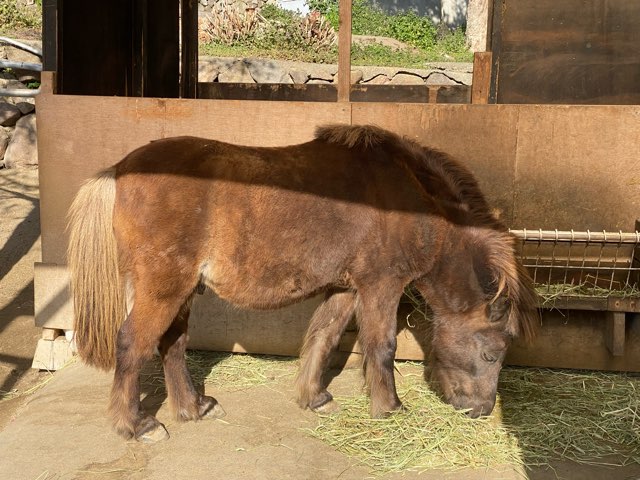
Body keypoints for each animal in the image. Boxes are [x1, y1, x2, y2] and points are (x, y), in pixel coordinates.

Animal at [67, 123, 536, 442]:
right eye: (492, 353)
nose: (482, 410)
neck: (412, 200)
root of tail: (120, 170)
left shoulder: (346, 288)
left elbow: (323, 338)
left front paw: (314, 397)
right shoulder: (381, 286)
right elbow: (381, 347)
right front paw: (389, 408)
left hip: (181, 292)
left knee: (172, 346)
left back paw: (194, 407)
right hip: (162, 289)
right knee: (132, 345)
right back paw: (137, 425)